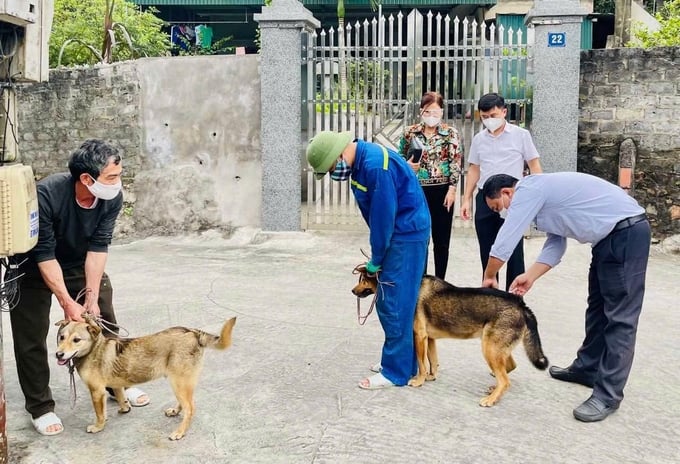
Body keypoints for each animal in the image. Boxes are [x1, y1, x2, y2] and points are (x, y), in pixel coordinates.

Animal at [55, 316, 236, 438]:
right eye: (61, 337)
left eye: (76, 340)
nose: (58, 354)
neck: (93, 349)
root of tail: (193, 332)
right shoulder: (116, 384)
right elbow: (120, 396)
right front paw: (124, 408)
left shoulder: (96, 391)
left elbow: (100, 413)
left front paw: (98, 426)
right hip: (180, 382)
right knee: (186, 404)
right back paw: (175, 411)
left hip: (178, 382)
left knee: (190, 408)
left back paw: (180, 432)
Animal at [350, 264, 548, 406]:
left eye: (363, 279)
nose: (352, 291)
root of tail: (521, 305)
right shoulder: (429, 339)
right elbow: (432, 361)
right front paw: (430, 377)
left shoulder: (419, 336)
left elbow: (421, 363)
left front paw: (419, 381)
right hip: (495, 349)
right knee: (509, 369)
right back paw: (494, 390)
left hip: (490, 349)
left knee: (506, 380)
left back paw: (491, 399)